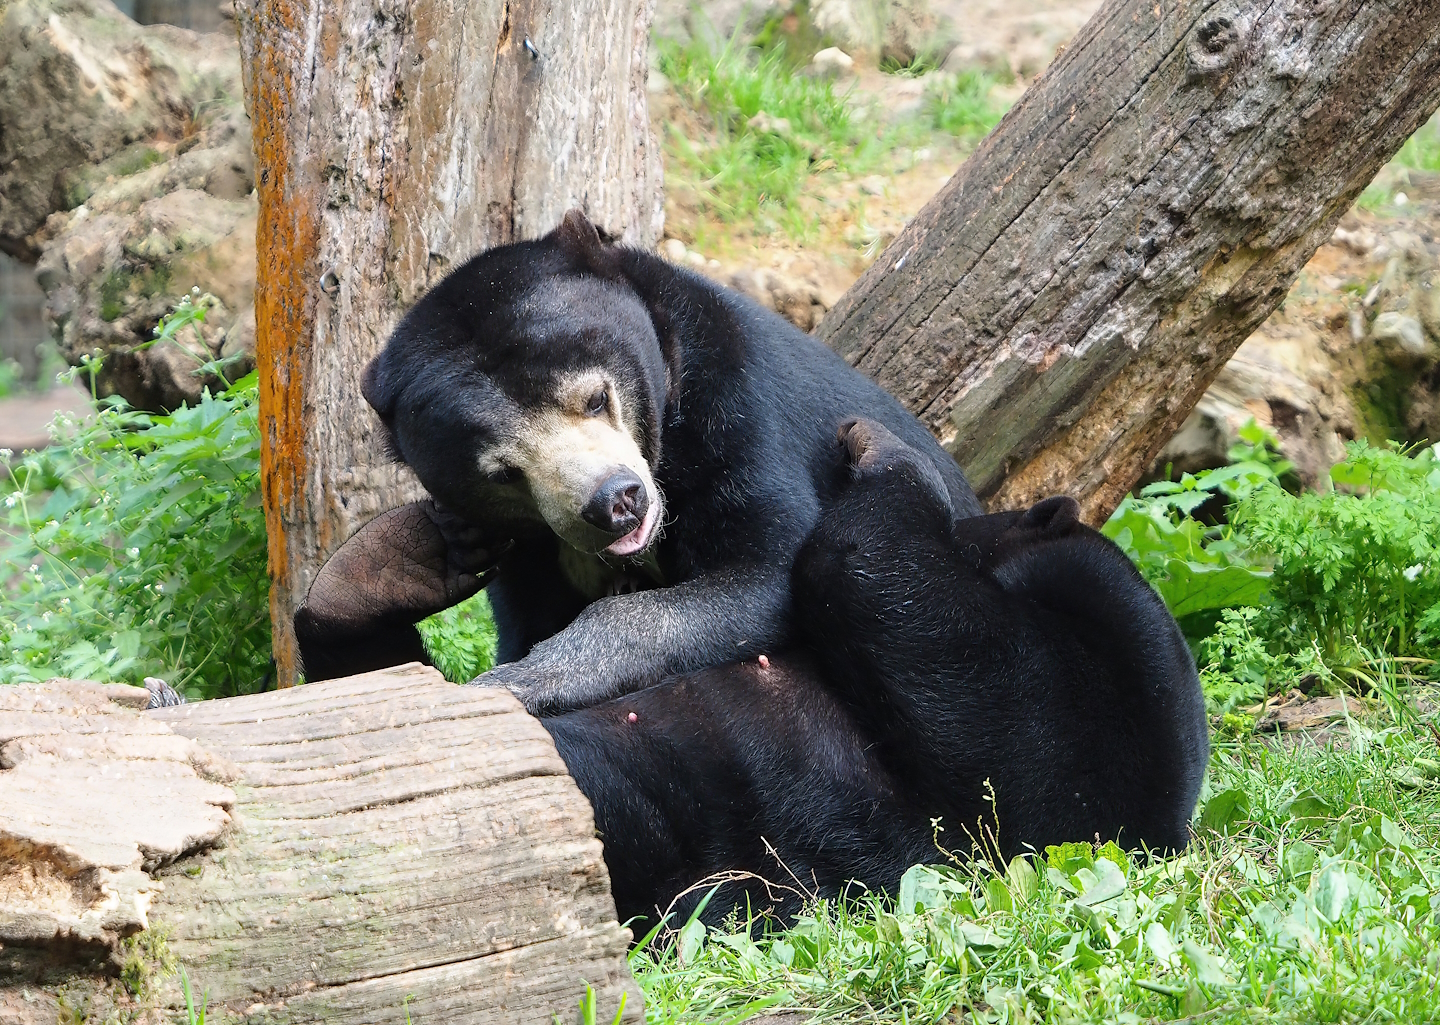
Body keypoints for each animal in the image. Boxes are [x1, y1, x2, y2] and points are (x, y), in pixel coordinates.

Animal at [296, 209, 982, 714]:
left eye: (596, 398)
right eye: (504, 474)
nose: (615, 504)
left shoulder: (743, 408)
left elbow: (766, 571)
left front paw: (516, 681)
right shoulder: (530, 557)